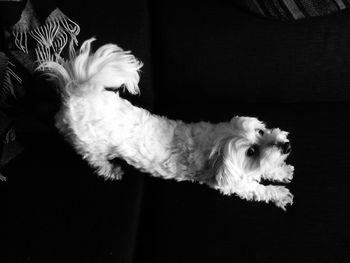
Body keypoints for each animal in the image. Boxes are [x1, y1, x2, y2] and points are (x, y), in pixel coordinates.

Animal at [38, 38, 294, 210]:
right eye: (251, 151)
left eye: (261, 130)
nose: (286, 146)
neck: (214, 145)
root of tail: (79, 93)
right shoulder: (233, 183)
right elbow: (258, 188)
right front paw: (279, 193)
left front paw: (280, 169)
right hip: (91, 146)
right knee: (96, 159)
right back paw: (111, 170)